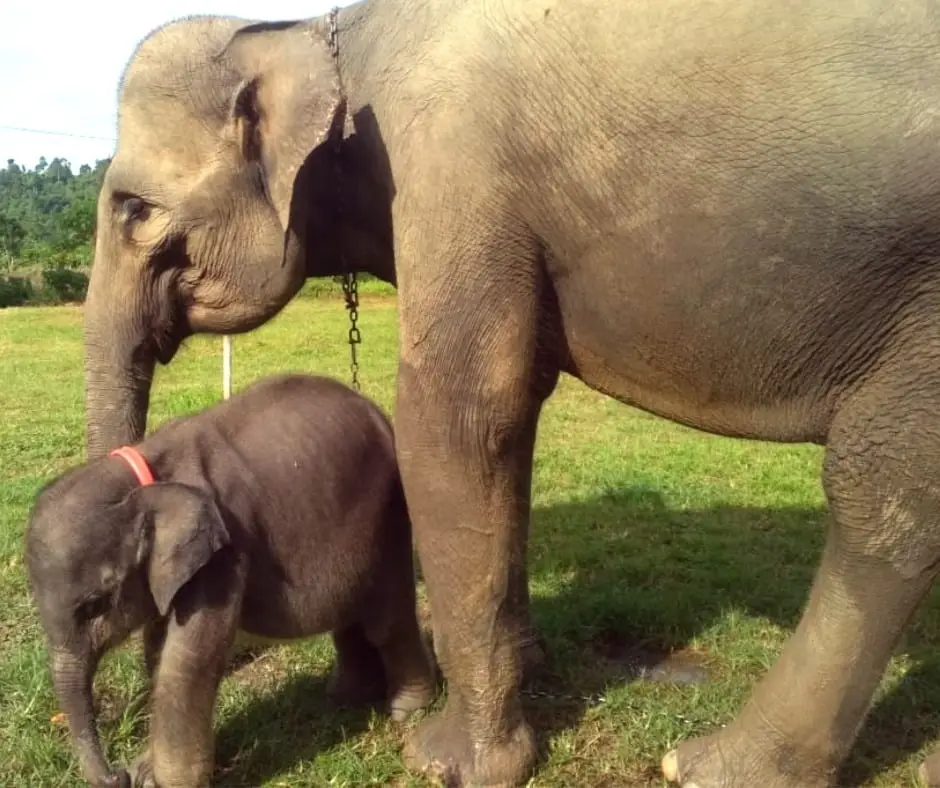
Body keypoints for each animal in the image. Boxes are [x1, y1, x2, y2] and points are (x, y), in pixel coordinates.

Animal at [25, 374, 436, 788]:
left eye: (95, 604)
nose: (117, 774)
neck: (140, 480)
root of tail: (373, 409)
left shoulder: (224, 554)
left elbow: (187, 656)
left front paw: (165, 781)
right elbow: (157, 648)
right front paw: (147, 771)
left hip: (390, 511)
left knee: (387, 619)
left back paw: (407, 709)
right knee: (349, 616)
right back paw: (346, 698)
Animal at [82, 1, 940, 788]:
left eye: (132, 208)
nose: (125, 761)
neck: (327, 36)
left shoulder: (452, 173)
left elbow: (455, 422)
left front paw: (451, 761)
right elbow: (515, 415)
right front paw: (530, 664)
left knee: (879, 495)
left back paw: (713, 767)